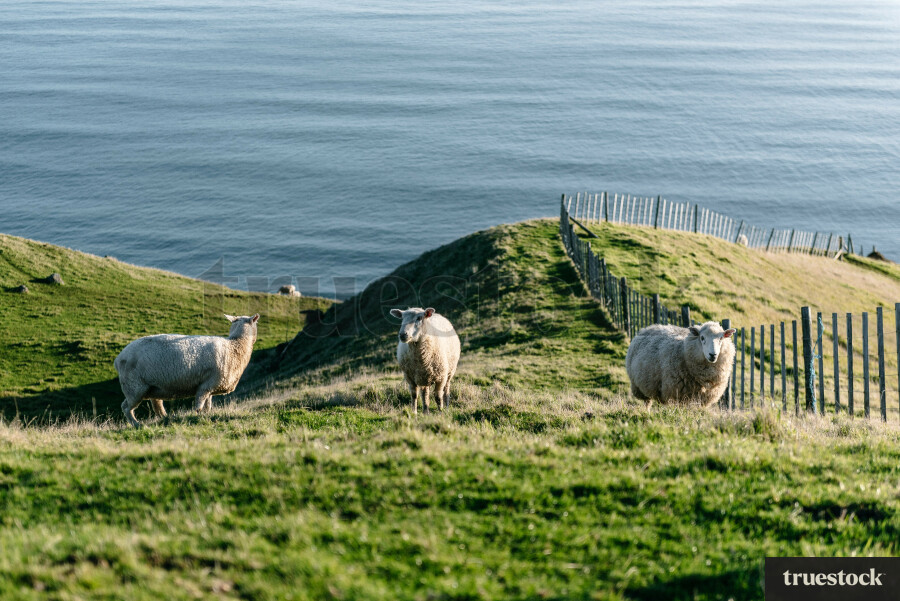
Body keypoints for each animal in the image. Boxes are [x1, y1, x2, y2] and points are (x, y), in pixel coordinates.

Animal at [114, 314, 260, 427]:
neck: (235, 345)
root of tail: (118, 358)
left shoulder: (209, 386)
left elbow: (208, 405)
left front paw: (206, 415)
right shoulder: (205, 386)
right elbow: (199, 406)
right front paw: (198, 417)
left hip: (151, 388)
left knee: (157, 406)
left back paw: (166, 418)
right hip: (134, 387)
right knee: (126, 407)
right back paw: (136, 424)